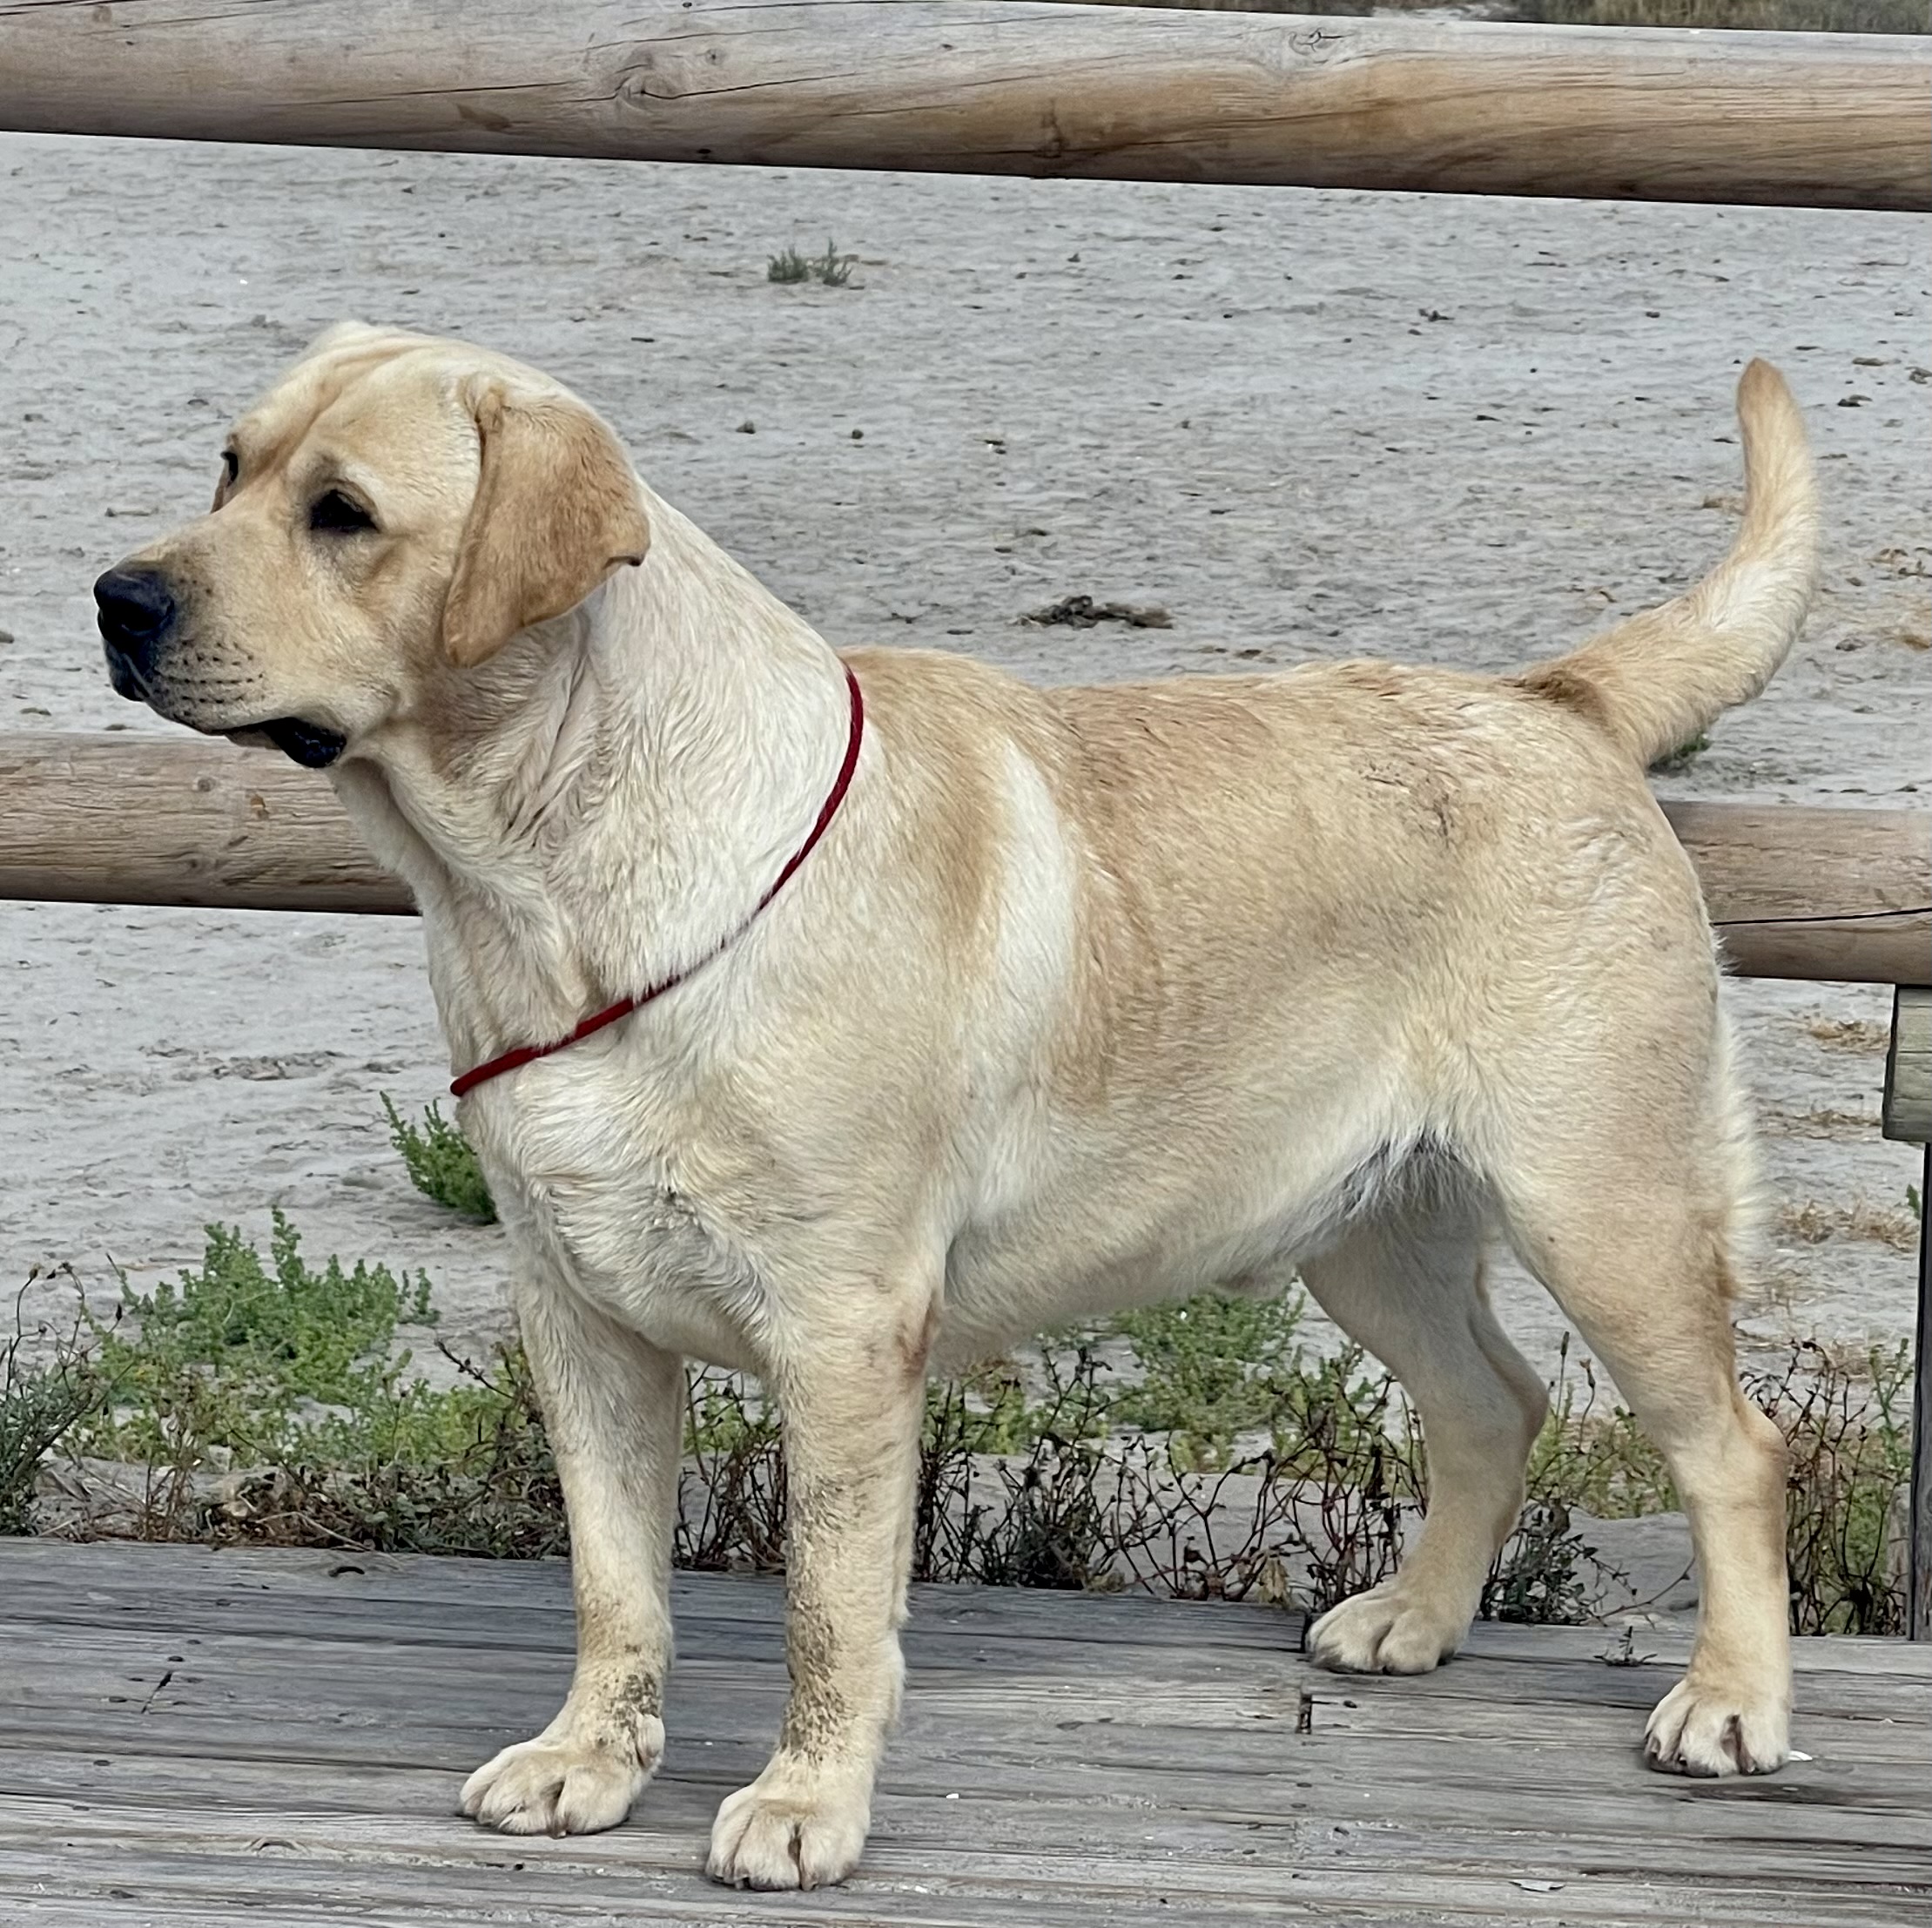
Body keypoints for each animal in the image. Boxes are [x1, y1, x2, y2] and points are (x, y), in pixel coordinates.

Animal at [94, 328, 1807, 1885]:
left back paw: (1727, 1704)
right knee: (1490, 1404)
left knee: (1729, 1445)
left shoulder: (843, 1331)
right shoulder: (576, 1308)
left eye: (344, 513)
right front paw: (590, 1759)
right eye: (229, 467)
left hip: (1601, 1209)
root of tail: (1553, 699)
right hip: (1369, 1233)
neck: (551, 878)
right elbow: (613, 1582)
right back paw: (1413, 1616)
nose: (119, 598)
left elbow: (828, 1610)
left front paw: (803, 1807)